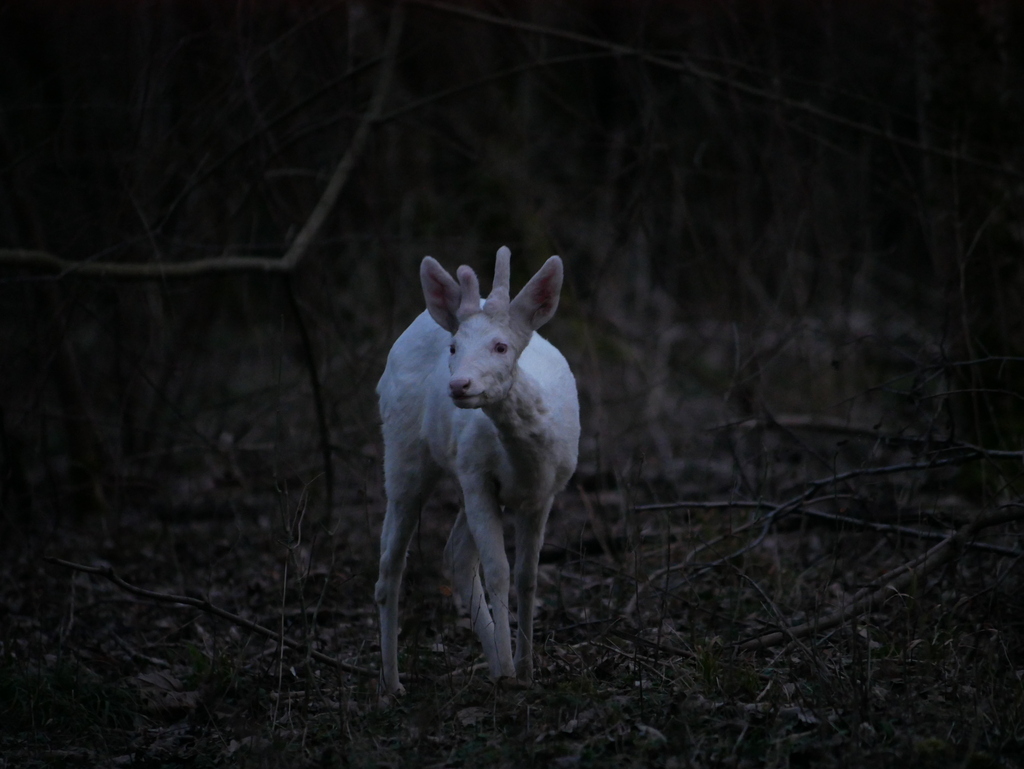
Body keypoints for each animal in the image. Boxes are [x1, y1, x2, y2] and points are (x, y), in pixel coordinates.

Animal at [374, 246, 580, 695]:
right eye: (453, 347)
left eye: (501, 346)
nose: (459, 386)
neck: (524, 461)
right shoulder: (477, 477)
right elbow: (499, 571)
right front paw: (513, 672)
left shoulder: (544, 494)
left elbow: (527, 575)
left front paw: (525, 669)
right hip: (404, 453)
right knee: (391, 562)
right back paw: (392, 684)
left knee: (455, 553)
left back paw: (494, 664)